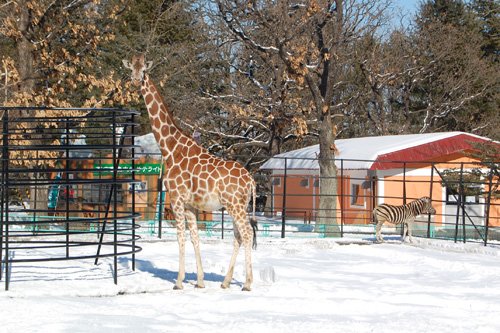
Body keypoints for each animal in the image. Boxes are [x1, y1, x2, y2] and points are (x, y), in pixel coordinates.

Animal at [123, 54, 258, 290]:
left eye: (144, 70)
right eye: (132, 69)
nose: (136, 81)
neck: (170, 148)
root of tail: (251, 180)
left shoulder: (176, 199)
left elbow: (180, 238)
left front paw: (179, 281)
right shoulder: (190, 205)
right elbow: (195, 237)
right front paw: (200, 281)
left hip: (235, 205)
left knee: (247, 233)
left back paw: (247, 284)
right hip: (238, 206)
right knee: (238, 236)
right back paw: (225, 282)